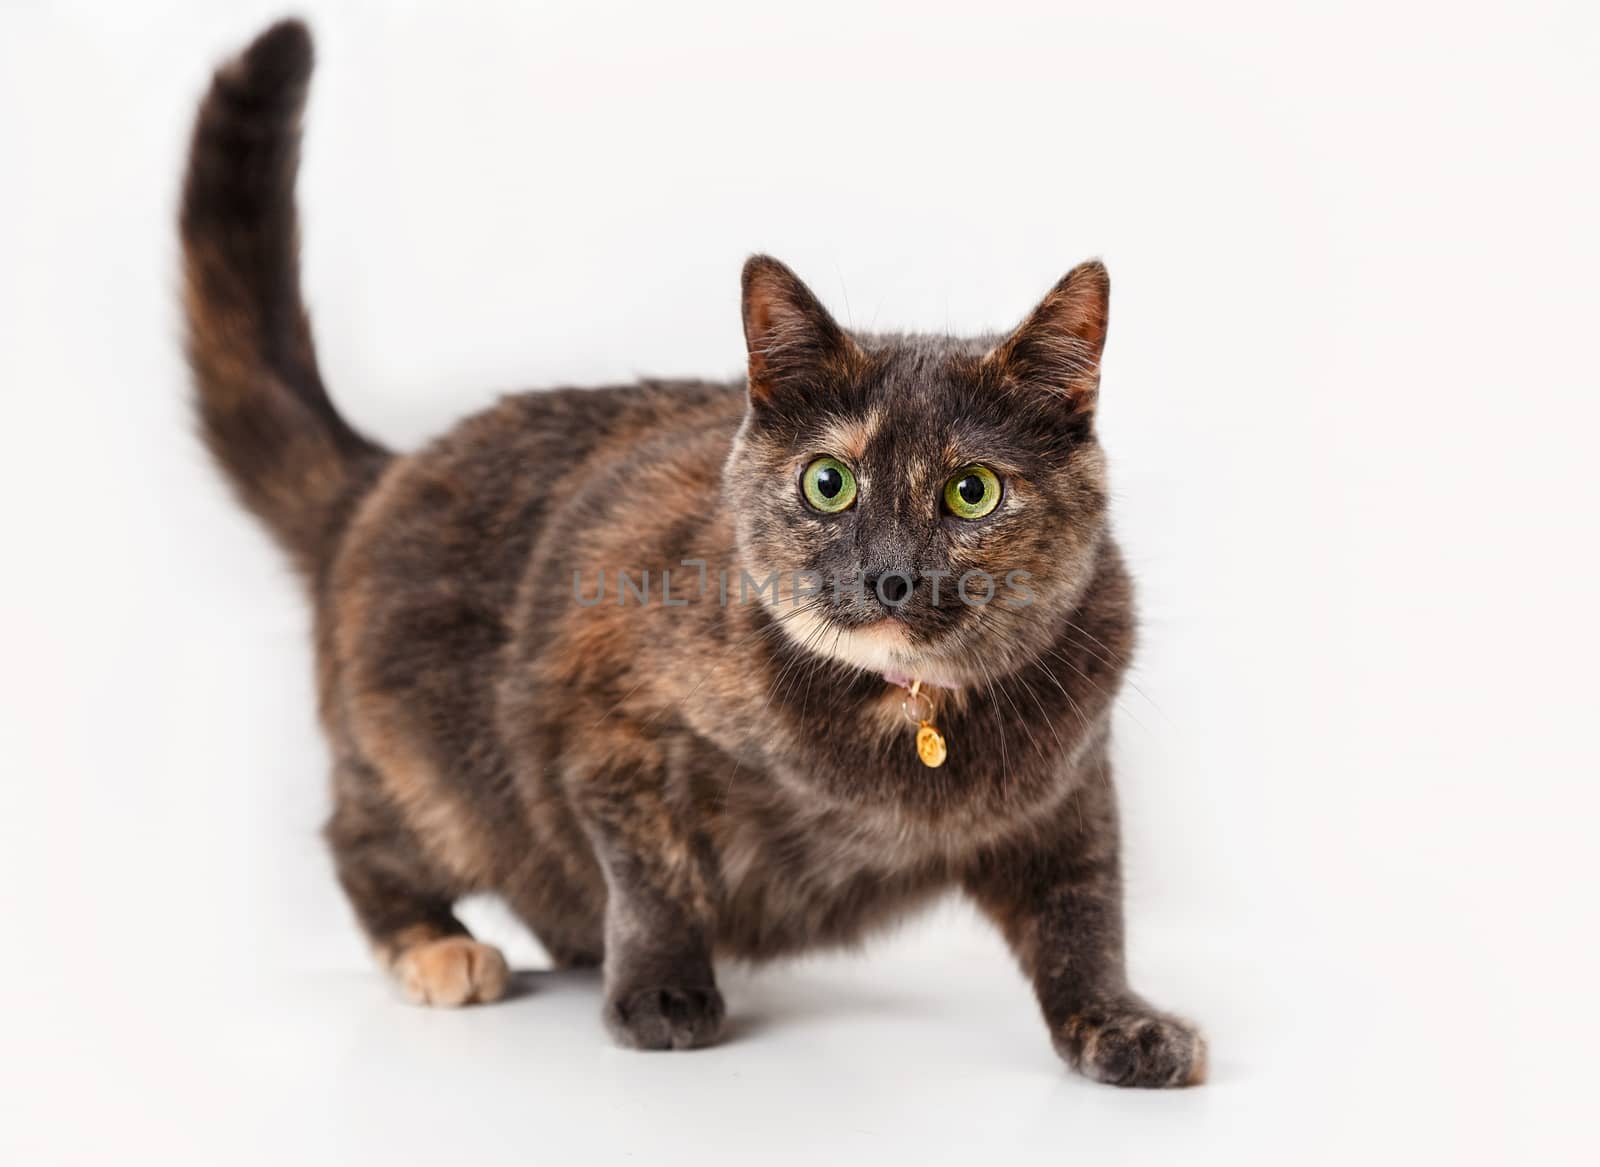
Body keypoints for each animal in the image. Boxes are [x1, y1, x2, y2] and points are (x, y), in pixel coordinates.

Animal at [184, 18, 1203, 1088]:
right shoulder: (603, 716)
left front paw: (1120, 1021)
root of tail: (381, 476)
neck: (904, 722)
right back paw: (440, 944)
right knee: (367, 838)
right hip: (431, 767)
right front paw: (662, 990)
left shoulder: (1069, 788)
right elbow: (651, 871)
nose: (888, 572)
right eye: (828, 482)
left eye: (973, 490)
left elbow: (1084, 910)